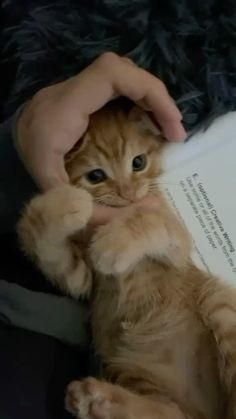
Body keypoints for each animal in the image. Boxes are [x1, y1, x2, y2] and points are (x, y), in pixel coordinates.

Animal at [18, 102, 236, 419]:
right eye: (96, 176)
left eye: (138, 162)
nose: (129, 193)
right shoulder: (81, 277)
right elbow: (42, 241)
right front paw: (67, 204)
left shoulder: (179, 246)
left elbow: (149, 218)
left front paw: (112, 243)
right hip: (127, 368)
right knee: (170, 413)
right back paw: (96, 400)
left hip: (216, 298)